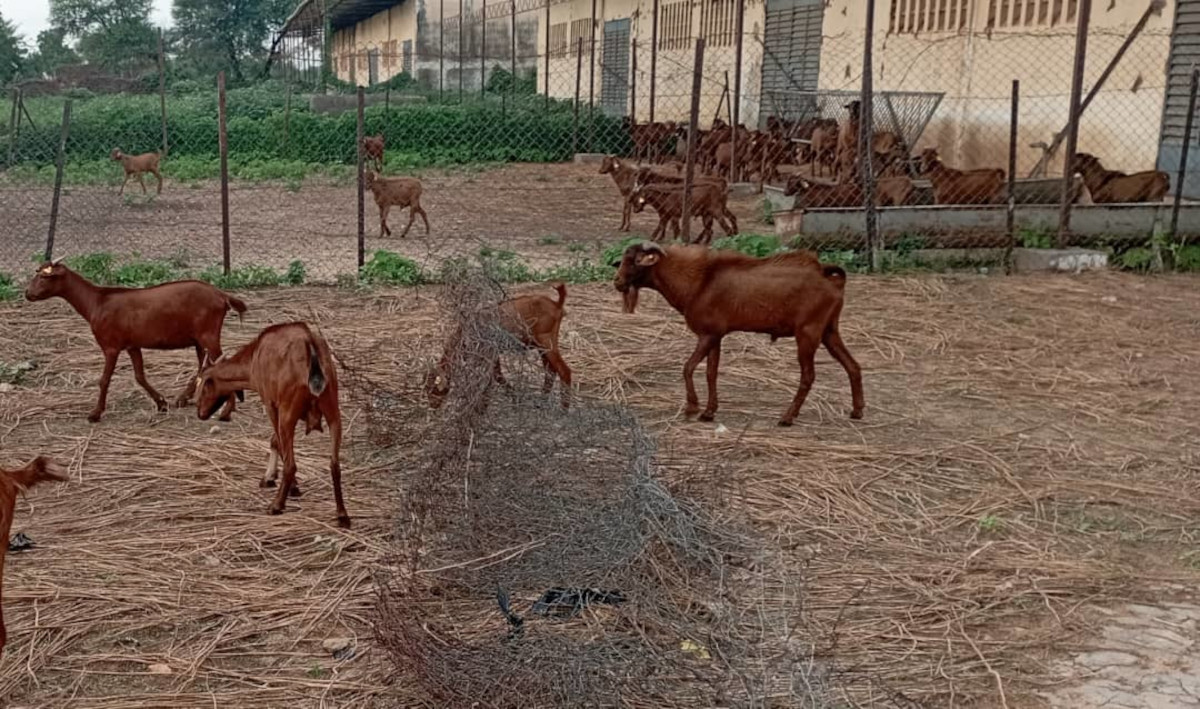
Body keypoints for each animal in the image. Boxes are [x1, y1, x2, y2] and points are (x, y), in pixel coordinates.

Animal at [25, 263, 246, 424]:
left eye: (44, 277)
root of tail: (222, 295)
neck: (96, 302)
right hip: (200, 339)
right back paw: (184, 399)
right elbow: (139, 376)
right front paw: (161, 403)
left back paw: (225, 410)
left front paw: (95, 414)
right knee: (204, 367)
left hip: (209, 333)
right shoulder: (132, 345)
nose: (27, 293)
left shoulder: (111, 346)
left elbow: (104, 380)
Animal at [194, 323, 350, 530]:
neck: (255, 356)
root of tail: (310, 345)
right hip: (333, 410)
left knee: (291, 464)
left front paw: (285, 485)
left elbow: (278, 443)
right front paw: (270, 477)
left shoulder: (270, 403)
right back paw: (342, 515)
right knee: (334, 464)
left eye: (203, 386)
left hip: (288, 413)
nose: (200, 413)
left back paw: (276, 505)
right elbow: (276, 441)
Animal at [427, 280, 571, 407]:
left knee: (564, 370)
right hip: (541, 346)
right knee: (550, 371)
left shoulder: (489, 350)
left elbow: (494, 376)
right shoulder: (493, 353)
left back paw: (564, 409)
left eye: (433, 389)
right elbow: (497, 374)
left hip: (546, 341)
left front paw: (484, 406)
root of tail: (557, 304)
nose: (433, 405)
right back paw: (541, 401)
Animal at [619, 242, 864, 427]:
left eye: (634, 260)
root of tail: (831, 281)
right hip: (829, 330)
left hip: (808, 332)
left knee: (808, 376)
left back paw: (787, 417)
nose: (618, 282)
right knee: (852, 365)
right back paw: (857, 410)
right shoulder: (715, 335)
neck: (698, 281)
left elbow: (688, 367)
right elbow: (711, 372)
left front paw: (691, 407)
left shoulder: (707, 335)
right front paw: (708, 412)